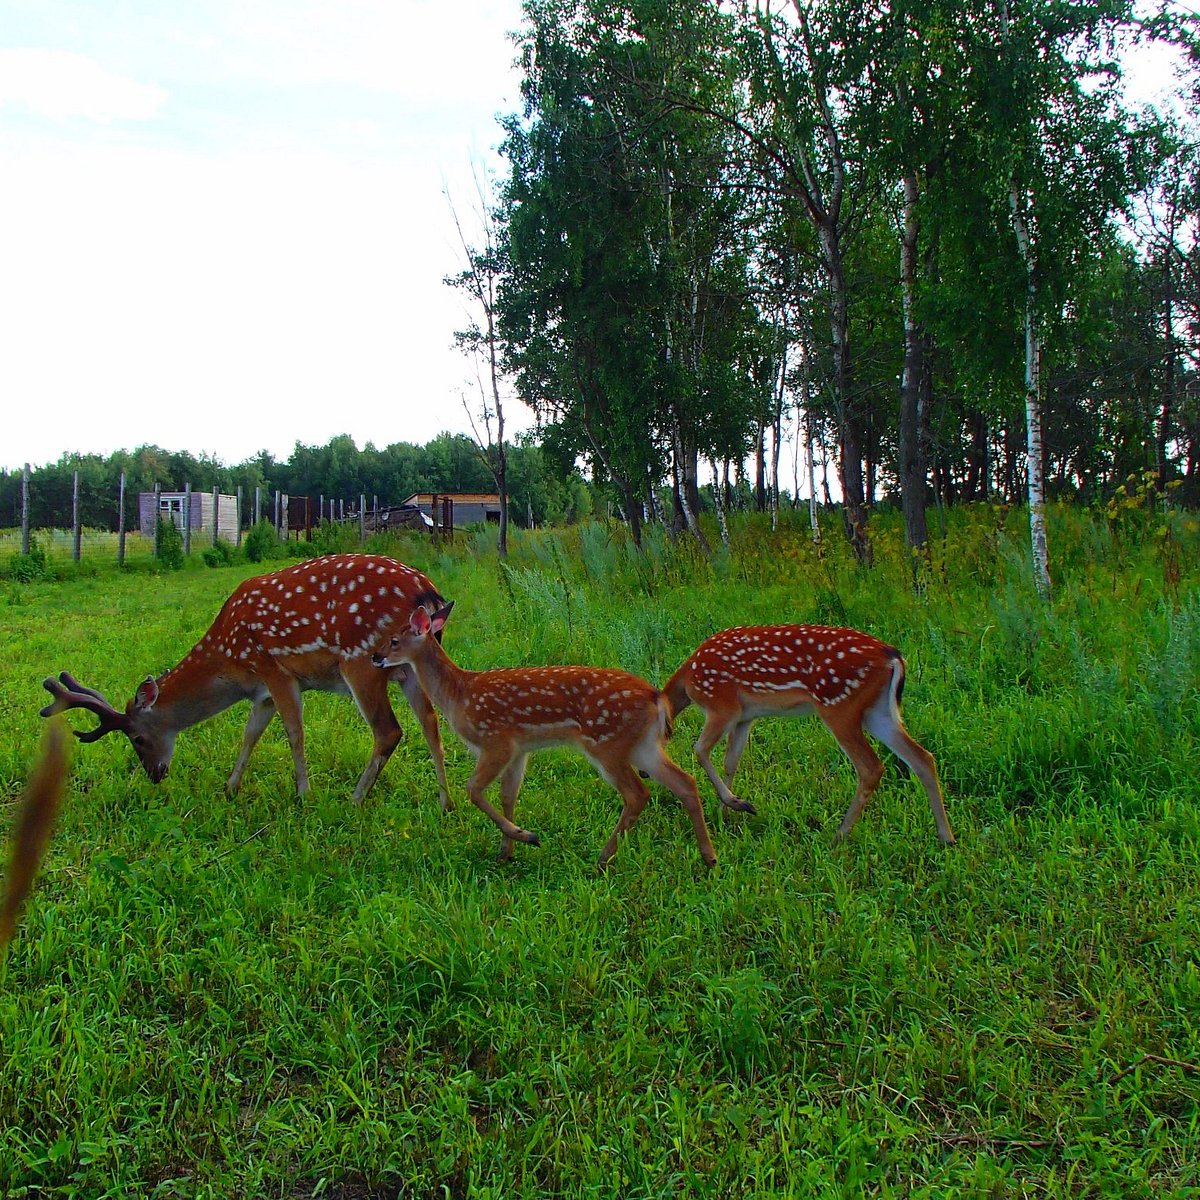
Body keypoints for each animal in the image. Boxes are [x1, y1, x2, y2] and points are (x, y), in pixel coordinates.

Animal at [39, 552, 451, 806]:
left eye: (138, 739)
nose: (155, 774)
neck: (231, 661)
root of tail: (426, 588)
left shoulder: (274, 669)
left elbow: (294, 731)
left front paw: (303, 795)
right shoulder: (262, 691)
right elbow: (251, 733)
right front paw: (230, 786)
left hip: (360, 659)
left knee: (389, 730)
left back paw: (354, 798)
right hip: (409, 665)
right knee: (430, 721)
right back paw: (446, 803)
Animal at [369, 604, 715, 868]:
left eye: (394, 640)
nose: (375, 656)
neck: (459, 696)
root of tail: (657, 698)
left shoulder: (496, 739)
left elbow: (473, 789)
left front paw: (527, 837)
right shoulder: (520, 750)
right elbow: (507, 796)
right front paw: (506, 852)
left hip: (607, 743)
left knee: (637, 793)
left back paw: (603, 858)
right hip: (642, 745)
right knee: (684, 783)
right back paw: (709, 857)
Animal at [657, 628, 955, 844]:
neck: (688, 682)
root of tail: (892, 655)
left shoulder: (722, 705)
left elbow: (700, 750)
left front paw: (734, 805)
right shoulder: (745, 716)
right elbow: (731, 761)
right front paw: (726, 814)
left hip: (839, 705)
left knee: (871, 767)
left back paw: (839, 835)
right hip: (878, 712)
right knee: (922, 757)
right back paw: (946, 837)